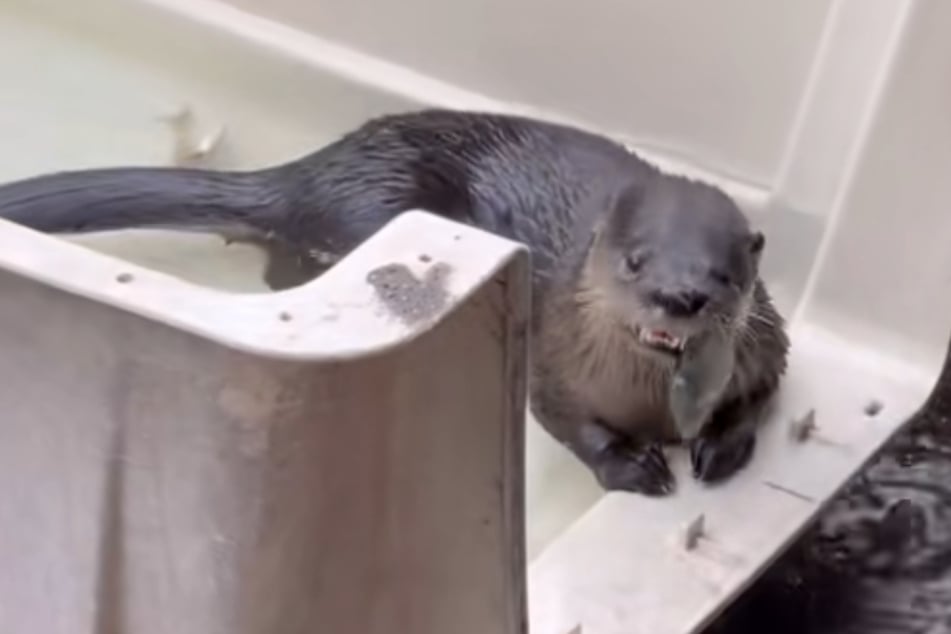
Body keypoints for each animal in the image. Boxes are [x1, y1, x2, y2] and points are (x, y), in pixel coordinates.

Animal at [0, 109, 789, 495]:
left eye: (725, 274)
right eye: (634, 260)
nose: (678, 295)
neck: (653, 405)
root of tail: (310, 174)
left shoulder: (767, 350)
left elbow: (759, 396)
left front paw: (718, 449)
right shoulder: (554, 364)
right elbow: (570, 423)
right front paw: (632, 468)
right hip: (371, 206)